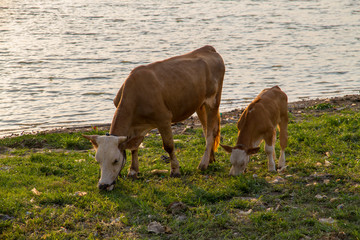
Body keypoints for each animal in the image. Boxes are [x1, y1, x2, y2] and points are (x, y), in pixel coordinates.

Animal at [84, 45, 225, 189]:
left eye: (115, 160)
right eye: (98, 160)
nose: (103, 185)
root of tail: (207, 48)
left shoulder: (164, 119)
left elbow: (169, 146)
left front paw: (175, 170)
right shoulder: (135, 126)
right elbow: (134, 147)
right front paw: (133, 171)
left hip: (213, 101)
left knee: (211, 133)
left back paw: (203, 164)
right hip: (200, 104)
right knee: (206, 129)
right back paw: (210, 159)